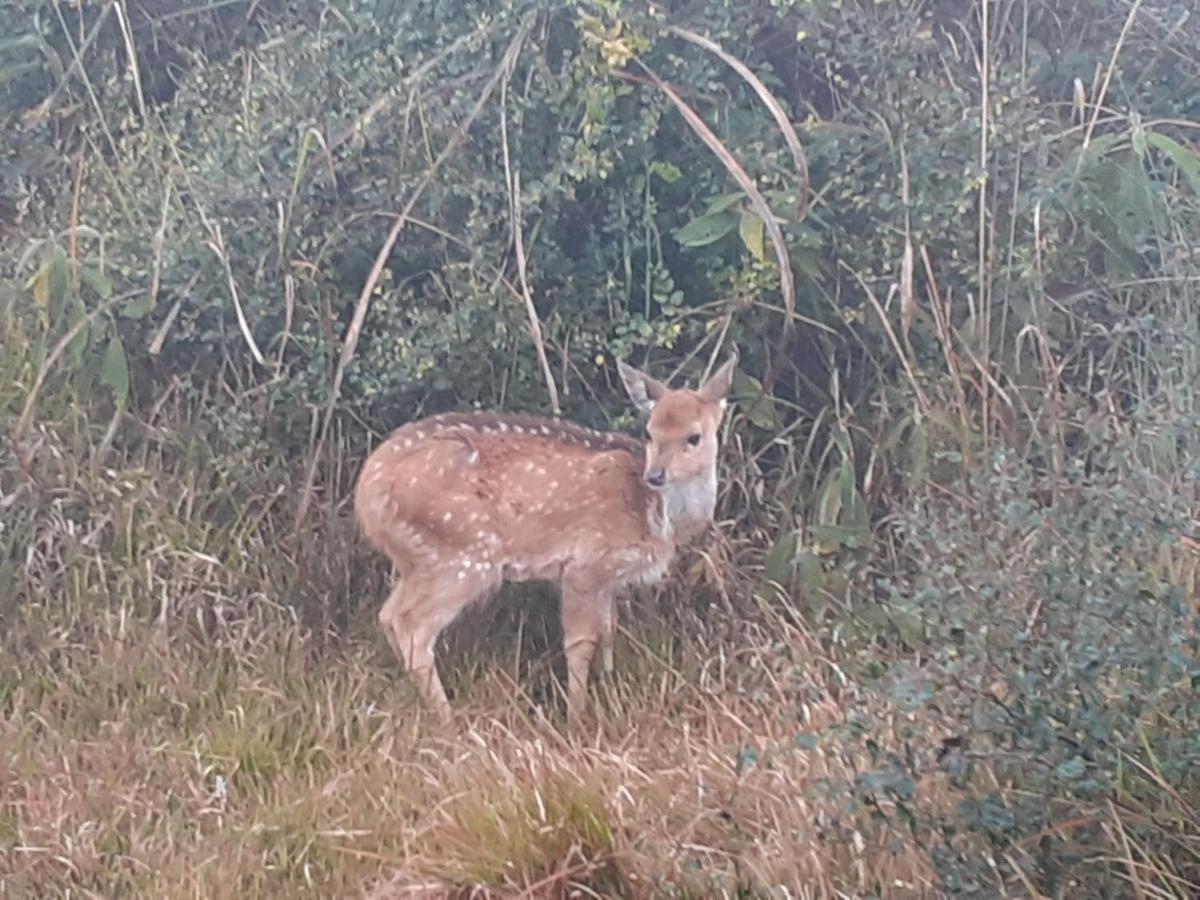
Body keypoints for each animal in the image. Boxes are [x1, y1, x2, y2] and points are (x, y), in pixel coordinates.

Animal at [350, 348, 734, 724]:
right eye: (651, 432)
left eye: (693, 437)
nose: (655, 475)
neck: (656, 516)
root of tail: (366, 493)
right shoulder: (584, 565)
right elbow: (581, 643)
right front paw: (577, 716)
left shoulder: (609, 579)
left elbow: (609, 630)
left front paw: (611, 691)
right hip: (461, 556)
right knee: (412, 626)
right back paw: (450, 721)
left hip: (419, 559)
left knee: (388, 615)